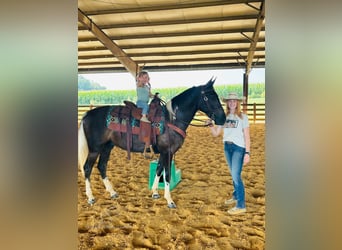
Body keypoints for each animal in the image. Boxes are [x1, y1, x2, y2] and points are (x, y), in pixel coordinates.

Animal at [78, 77, 226, 208]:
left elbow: (159, 170)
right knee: (87, 168)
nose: (223, 118)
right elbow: (167, 175)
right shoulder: (168, 152)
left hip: (107, 147)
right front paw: (169, 201)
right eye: (209, 97)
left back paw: (113, 192)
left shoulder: (163, 153)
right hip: (95, 149)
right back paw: (90, 197)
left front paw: (155, 193)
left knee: (102, 166)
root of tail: (87, 114)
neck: (171, 119)